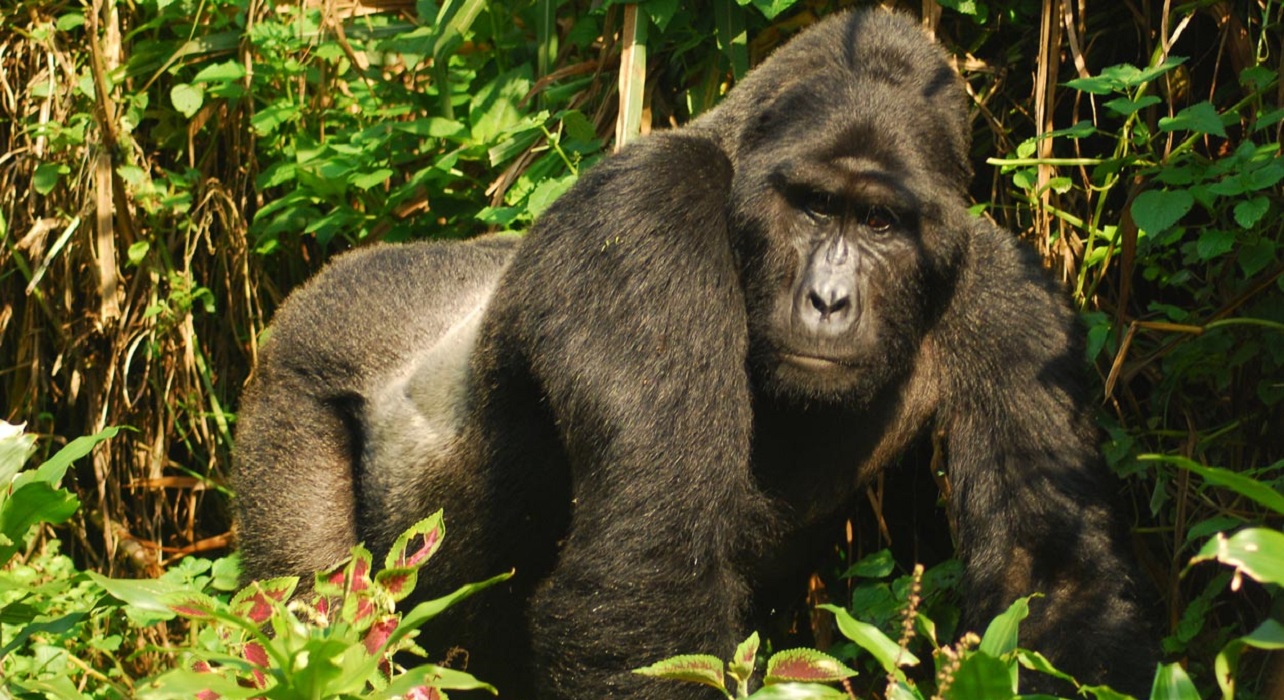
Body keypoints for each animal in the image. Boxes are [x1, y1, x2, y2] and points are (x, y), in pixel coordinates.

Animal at [236, 8, 1160, 693]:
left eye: (880, 223)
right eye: (813, 206)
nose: (829, 301)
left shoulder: (1006, 292)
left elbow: (1052, 579)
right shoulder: (650, 208)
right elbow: (651, 578)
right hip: (296, 369)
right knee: (308, 604)